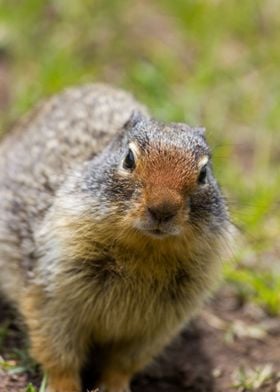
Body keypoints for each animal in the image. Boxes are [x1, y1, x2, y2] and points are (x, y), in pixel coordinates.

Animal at [0, 83, 232, 392]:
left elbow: (123, 362)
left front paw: (116, 386)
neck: (147, 252)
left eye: (204, 173)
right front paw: (64, 387)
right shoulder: (53, 294)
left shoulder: (159, 325)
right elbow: (58, 352)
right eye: (129, 159)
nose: (163, 209)